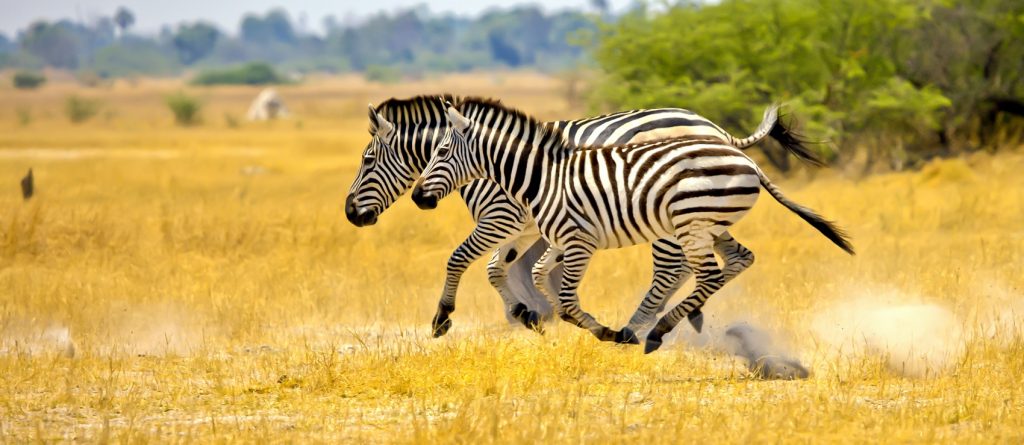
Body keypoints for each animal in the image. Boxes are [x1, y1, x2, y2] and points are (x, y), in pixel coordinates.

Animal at [345, 95, 822, 339]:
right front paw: (529, 314)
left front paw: (445, 318)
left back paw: (649, 323)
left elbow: (465, 260)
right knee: (708, 263)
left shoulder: (501, 218)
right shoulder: (524, 225)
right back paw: (683, 316)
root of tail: (714, 128)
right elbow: (500, 269)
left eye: (368, 160)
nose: (351, 214)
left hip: (669, 216)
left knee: (675, 266)